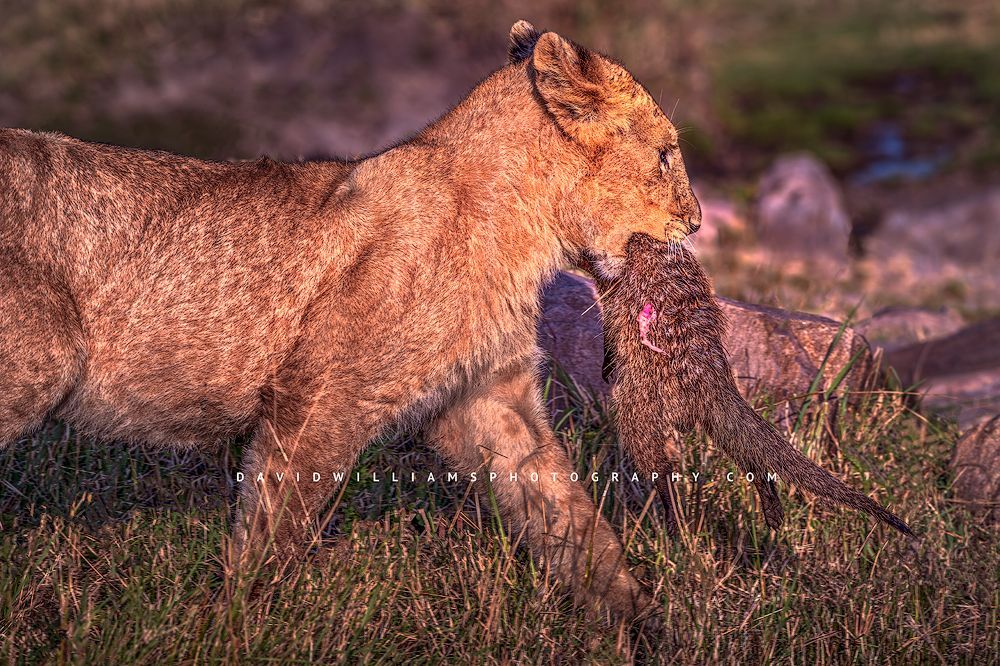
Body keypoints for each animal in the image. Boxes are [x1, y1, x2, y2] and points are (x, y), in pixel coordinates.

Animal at [0, 20, 700, 621]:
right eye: (665, 155)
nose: (695, 222)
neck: (524, 230)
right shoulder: (322, 393)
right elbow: (276, 524)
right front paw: (235, 624)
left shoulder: (489, 397)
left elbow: (570, 514)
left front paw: (640, 622)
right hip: (39, 362)